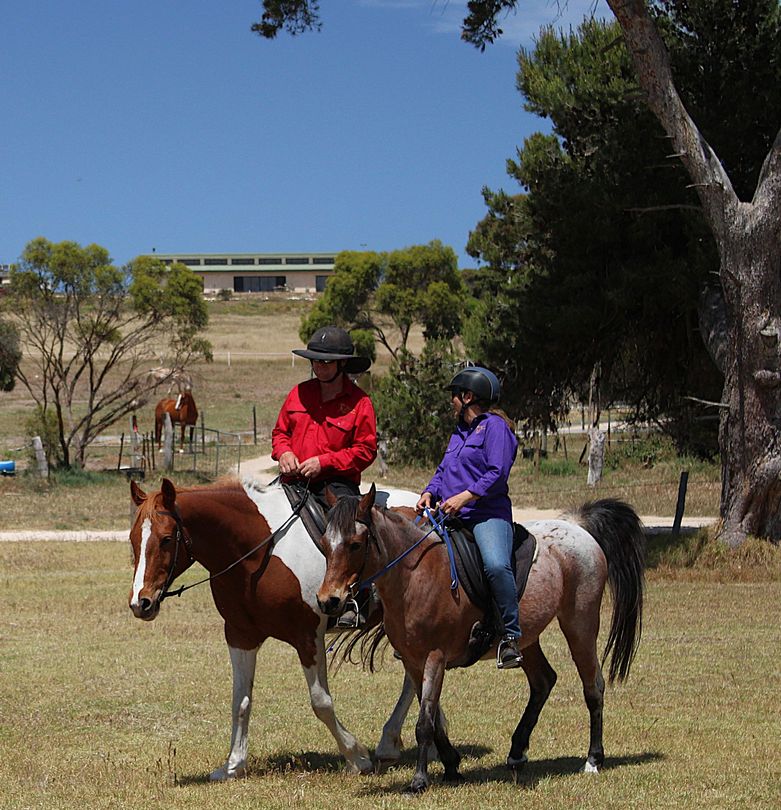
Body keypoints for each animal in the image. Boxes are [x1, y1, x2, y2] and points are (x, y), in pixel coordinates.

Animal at [128, 474, 420, 776]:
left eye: (165, 539)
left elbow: (321, 702)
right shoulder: (240, 635)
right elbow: (241, 700)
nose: (141, 602)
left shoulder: (307, 636)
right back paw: (393, 742)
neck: (258, 552)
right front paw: (233, 764)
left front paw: (356, 757)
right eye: (133, 539)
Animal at [316, 482, 644, 792]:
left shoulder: (435, 656)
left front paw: (419, 780)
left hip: (580, 623)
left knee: (593, 687)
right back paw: (517, 753)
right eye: (323, 544)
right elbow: (432, 717)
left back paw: (593, 759)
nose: (329, 600)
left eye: (355, 544)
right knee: (543, 681)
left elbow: (424, 722)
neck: (415, 575)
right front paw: (451, 765)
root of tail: (577, 527)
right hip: (527, 637)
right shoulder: (412, 660)